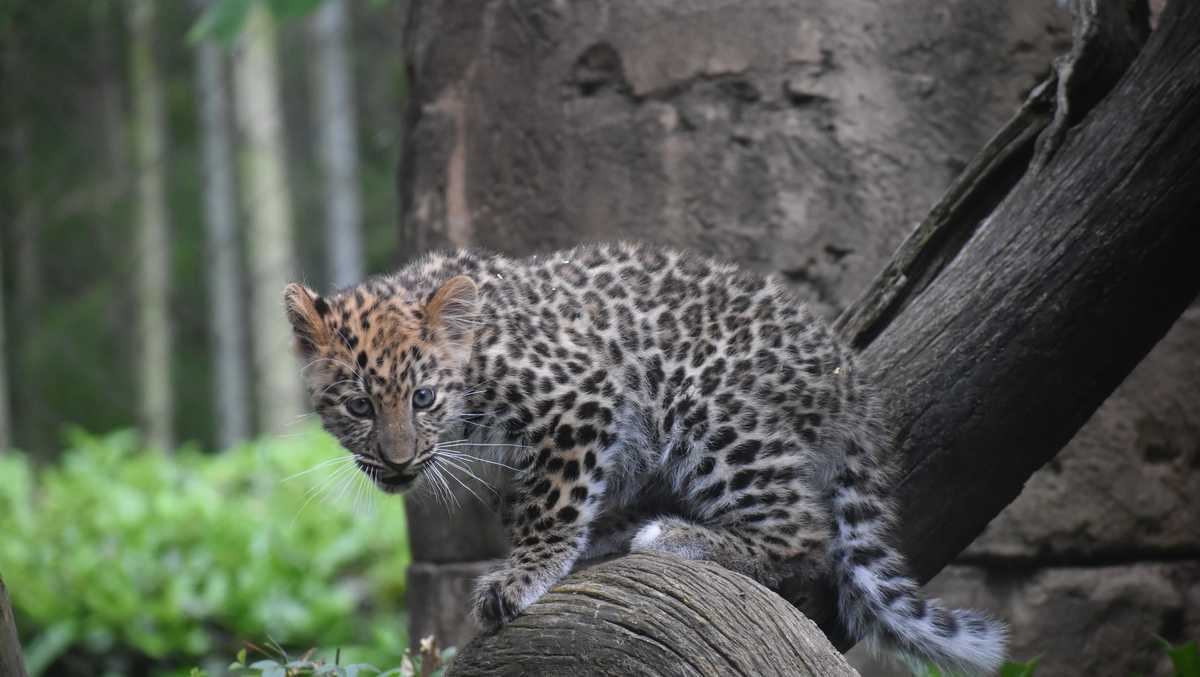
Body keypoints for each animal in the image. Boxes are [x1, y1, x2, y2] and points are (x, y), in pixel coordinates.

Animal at [283, 242, 1007, 674]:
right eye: (358, 406)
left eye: (424, 396)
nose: (399, 463)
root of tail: (851, 378)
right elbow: (529, 504)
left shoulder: (580, 400)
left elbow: (552, 504)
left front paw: (523, 576)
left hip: (704, 404)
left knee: (805, 529)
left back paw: (677, 536)